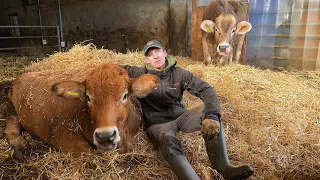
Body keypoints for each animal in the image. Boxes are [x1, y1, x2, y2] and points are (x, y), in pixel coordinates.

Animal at [4, 62, 159, 158]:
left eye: (125, 95)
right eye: (88, 97)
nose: (105, 136)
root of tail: (22, 75)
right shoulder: (64, 136)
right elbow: (88, 153)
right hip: (12, 110)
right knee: (10, 127)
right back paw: (20, 146)